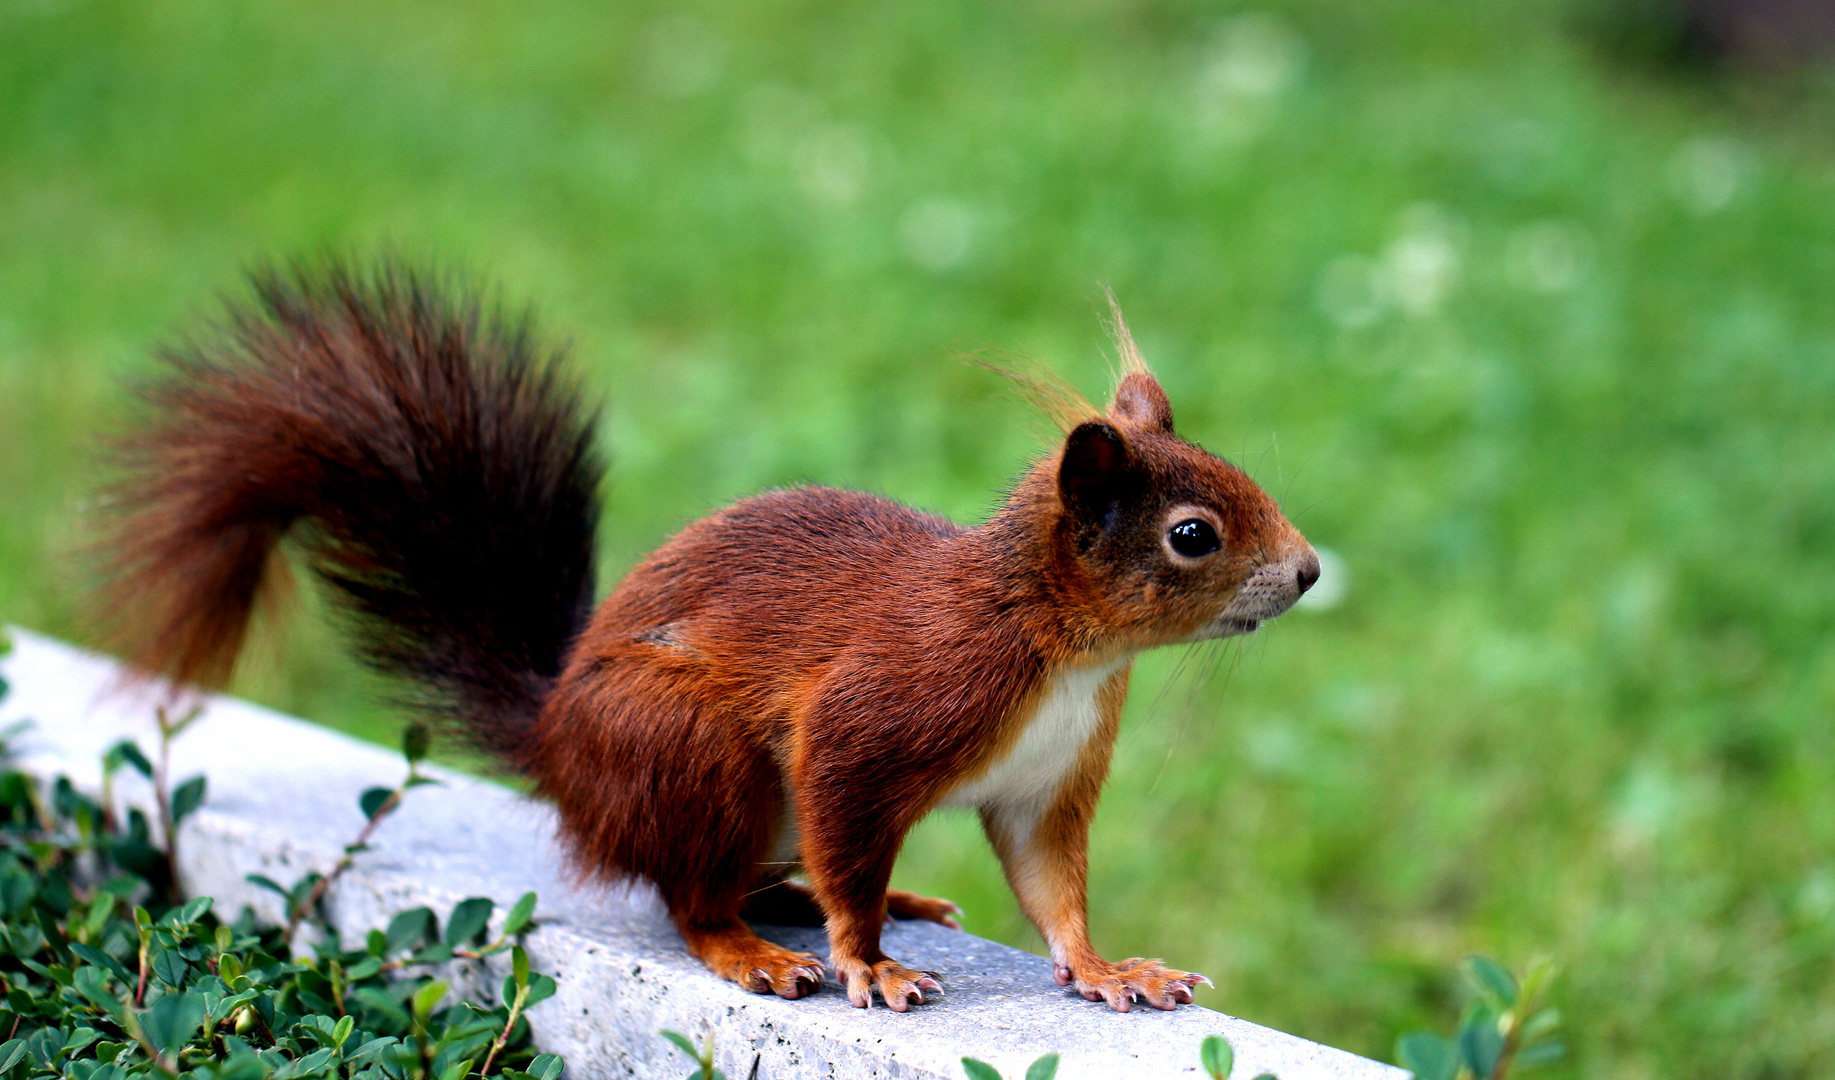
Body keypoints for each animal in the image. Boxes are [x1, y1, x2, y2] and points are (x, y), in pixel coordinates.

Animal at [100, 260, 1321, 1012]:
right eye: (1192, 534)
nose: (1308, 572)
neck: (1062, 647)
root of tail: (559, 750)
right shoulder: (882, 710)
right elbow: (845, 816)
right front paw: (867, 965)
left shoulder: (1046, 778)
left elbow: (1049, 886)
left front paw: (1110, 970)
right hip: (688, 750)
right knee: (691, 898)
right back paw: (761, 949)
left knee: (748, 877)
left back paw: (861, 903)